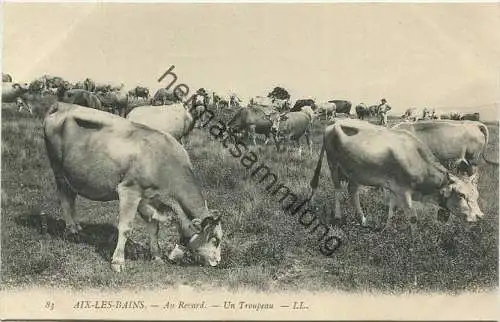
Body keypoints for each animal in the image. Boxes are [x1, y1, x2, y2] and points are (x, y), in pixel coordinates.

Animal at [44, 104, 224, 272]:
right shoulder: (129, 190)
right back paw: (71, 230)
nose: (218, 261)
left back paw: (77, 226)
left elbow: (154, 227)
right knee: (65, 198)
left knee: (71, 197)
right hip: (58, 169)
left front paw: (157, 256)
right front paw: (118, 261)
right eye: (215, 239)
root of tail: (62, 105)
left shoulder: (150, 199)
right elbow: (125, 228)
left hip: (73, 173)